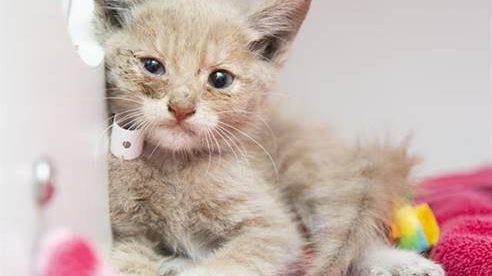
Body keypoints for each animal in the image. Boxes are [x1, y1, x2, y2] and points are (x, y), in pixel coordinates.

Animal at [94, 0, 444, 276]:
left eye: (219, 79)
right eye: (152, 66)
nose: (181, 107)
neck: (174, 165)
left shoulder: (271, 229)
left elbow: (232, 262)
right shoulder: (127, 234)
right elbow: (129, 261)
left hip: (318, 180)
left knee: (347, 231)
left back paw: (403, 263)